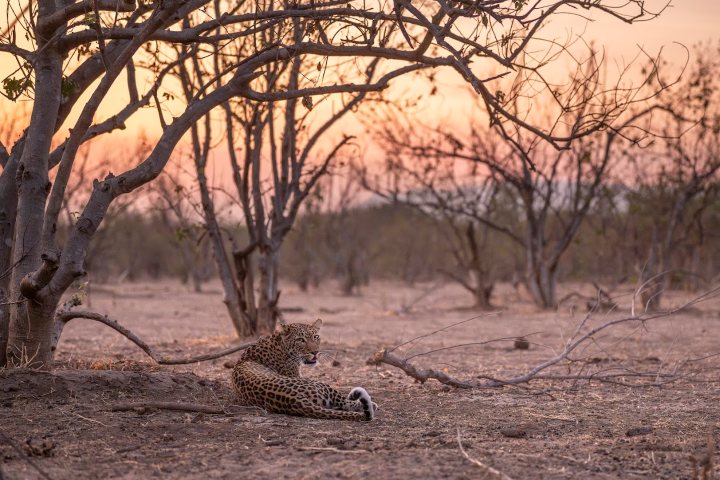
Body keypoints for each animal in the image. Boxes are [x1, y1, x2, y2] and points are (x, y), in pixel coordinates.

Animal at [232, 319, 375, 421]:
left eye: (316, 337)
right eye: (300, 340)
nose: (315, 352)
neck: (279, 344)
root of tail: (294, 399)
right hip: (322, 385)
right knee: (345, 402)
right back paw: (371, 404)